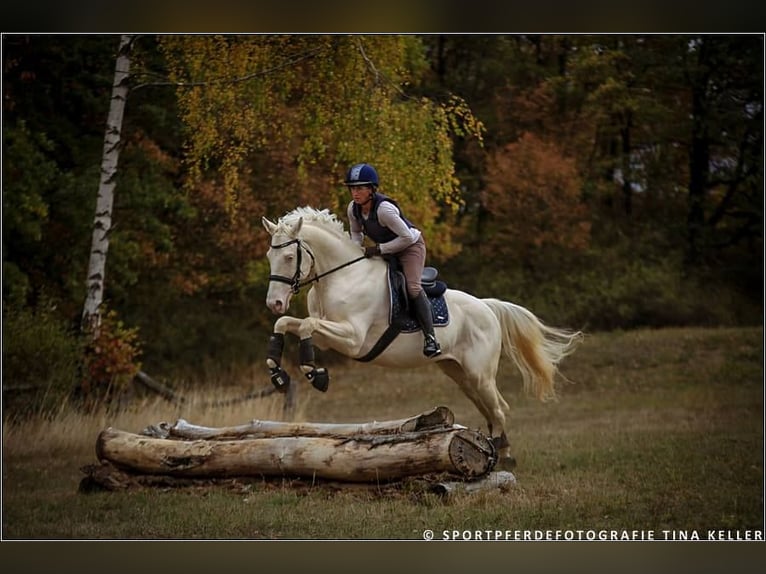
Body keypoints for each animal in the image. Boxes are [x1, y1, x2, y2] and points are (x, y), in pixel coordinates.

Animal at [262, 206, 583, 469]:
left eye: (289, 257)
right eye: (269, 256)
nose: (274, 302)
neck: (342, 277)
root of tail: (487, 306)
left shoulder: (353, 339)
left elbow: (305, 326)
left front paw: (316, 375)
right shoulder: (328, 338)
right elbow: (288, 323)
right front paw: (278, 373)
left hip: (479, 374)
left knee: (499, 409)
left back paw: (503, 456)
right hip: (459, 374)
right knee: (489, 409)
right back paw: (493, 450)